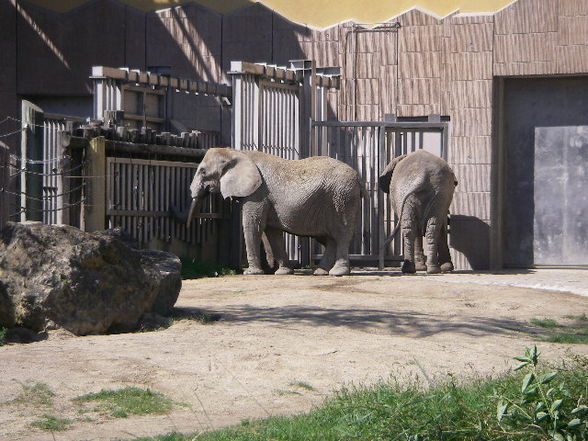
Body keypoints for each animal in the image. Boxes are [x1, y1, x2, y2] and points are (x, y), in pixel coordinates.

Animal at [187, 148, 362, 276]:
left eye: (203, 171)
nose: (189, 227)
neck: (236, 152)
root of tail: (359, 178)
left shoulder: (257, 193)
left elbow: (253, 225)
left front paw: (251, 273)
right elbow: (272, 232)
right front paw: (283, 272)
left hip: (342, 198)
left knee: (341, 235)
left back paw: (338, 273)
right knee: (330, 238)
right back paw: (320, 272)